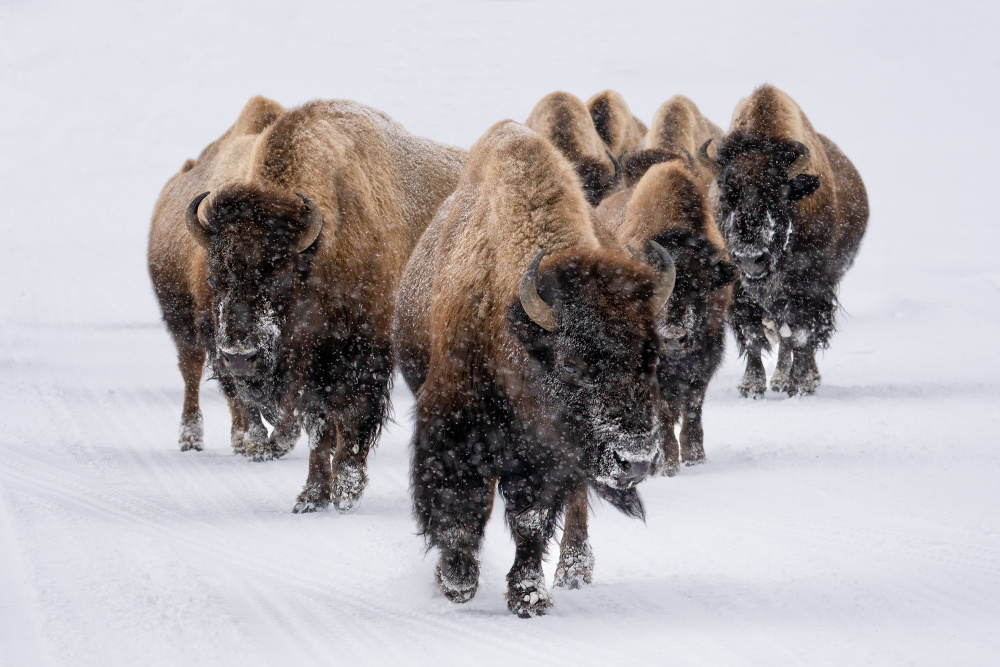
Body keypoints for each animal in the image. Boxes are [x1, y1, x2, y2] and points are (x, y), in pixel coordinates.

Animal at [146, 95, 466, 512]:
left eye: (281, 276)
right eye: (215, 277)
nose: (239, 356)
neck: (322, 249)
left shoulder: (363, 356)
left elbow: (353, 418)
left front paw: (346, 490)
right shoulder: (308, 368)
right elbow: (318, 426)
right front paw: (312, 496)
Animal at [394, 118, 676, 616]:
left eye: (654, 357)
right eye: (571, 362)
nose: (636, 459)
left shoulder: (547, 457)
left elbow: (532, 520)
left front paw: (528, 596)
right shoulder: (451, 428)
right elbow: (458, 505)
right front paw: (457, 581)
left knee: (576, 503)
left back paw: (575, 568)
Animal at [696, 85, 868, 396]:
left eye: (779, 196)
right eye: (726, 197)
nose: (750, 258)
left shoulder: (812, 287)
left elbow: (801, 335)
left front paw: (801, 385)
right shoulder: (739, 292)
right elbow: (753, 336)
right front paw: (751, 387)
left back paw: (796, 379)